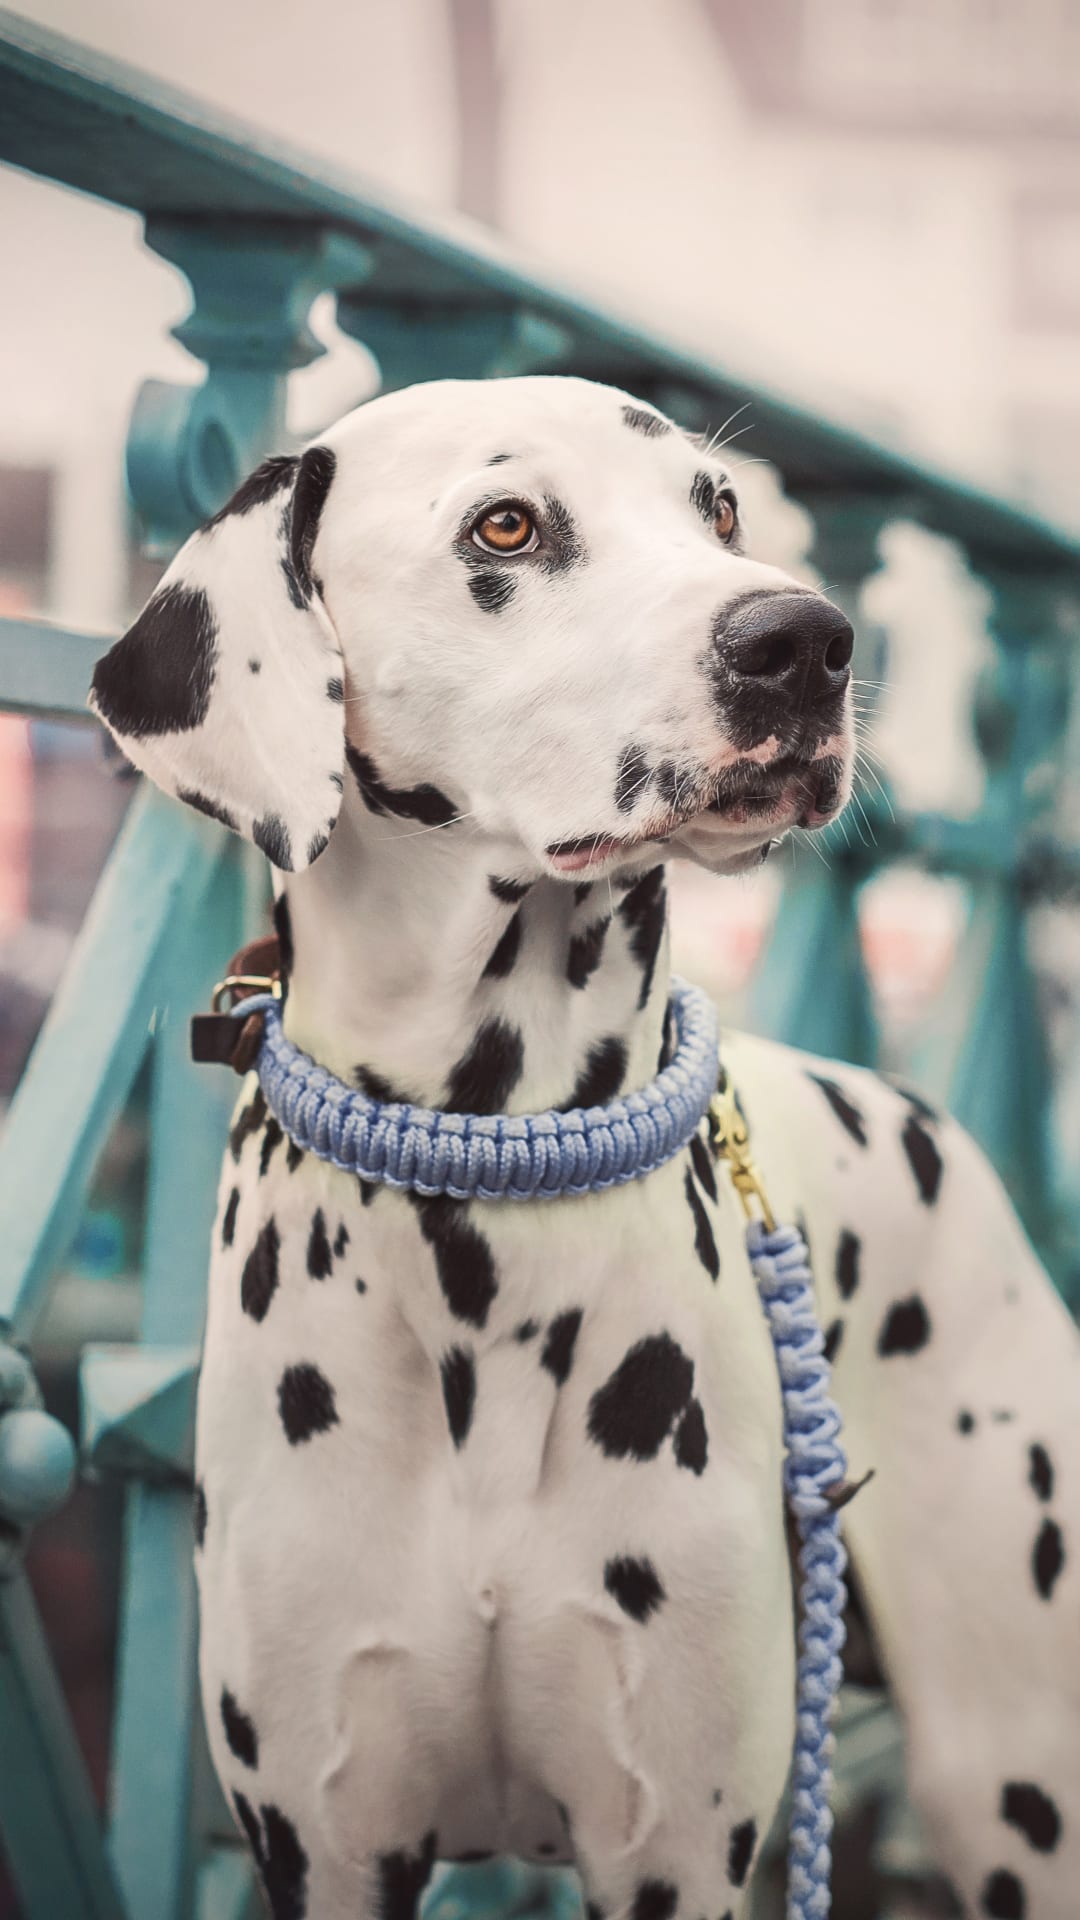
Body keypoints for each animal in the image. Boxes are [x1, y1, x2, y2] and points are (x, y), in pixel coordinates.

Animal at [88, 378, 1068, 1920]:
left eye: (719, 509)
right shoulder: (326, 1843)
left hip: (1018, 1777)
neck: (490, 1177)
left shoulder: (676, 1851)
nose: (804, 642)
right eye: (507, 526)